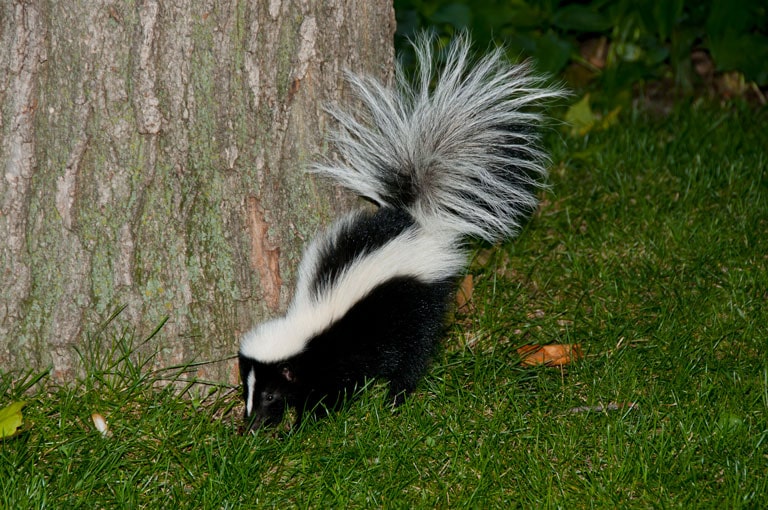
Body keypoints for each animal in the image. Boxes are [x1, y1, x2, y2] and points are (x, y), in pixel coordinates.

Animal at [237, 33, 560, 428]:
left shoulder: (341, 348)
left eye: (270, 394)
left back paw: (397, 396)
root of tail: (415, 220)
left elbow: (333, 387)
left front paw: (306, 422)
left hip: (419, 302)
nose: (251, 426)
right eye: (247, 391)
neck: (308, 325)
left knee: (416, 350)